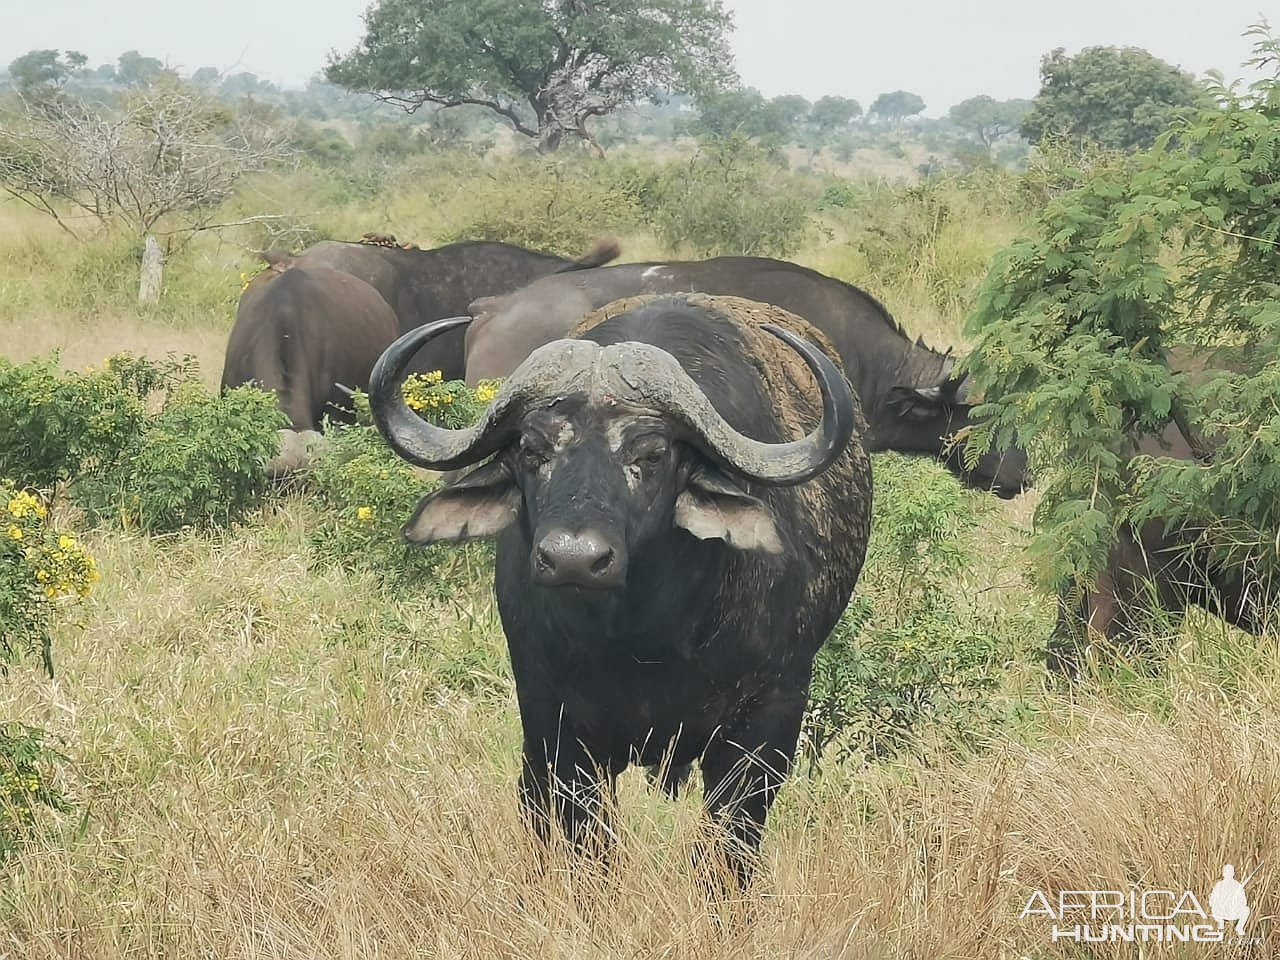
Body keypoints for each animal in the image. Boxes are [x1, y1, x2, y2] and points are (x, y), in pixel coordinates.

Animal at [366, 293, 875, 885]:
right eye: (532, 449)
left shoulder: (770, 719)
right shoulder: (555, 722)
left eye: (651, 455)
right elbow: (585, 839)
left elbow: (728, 848)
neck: (642, 641)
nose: (574, 560)